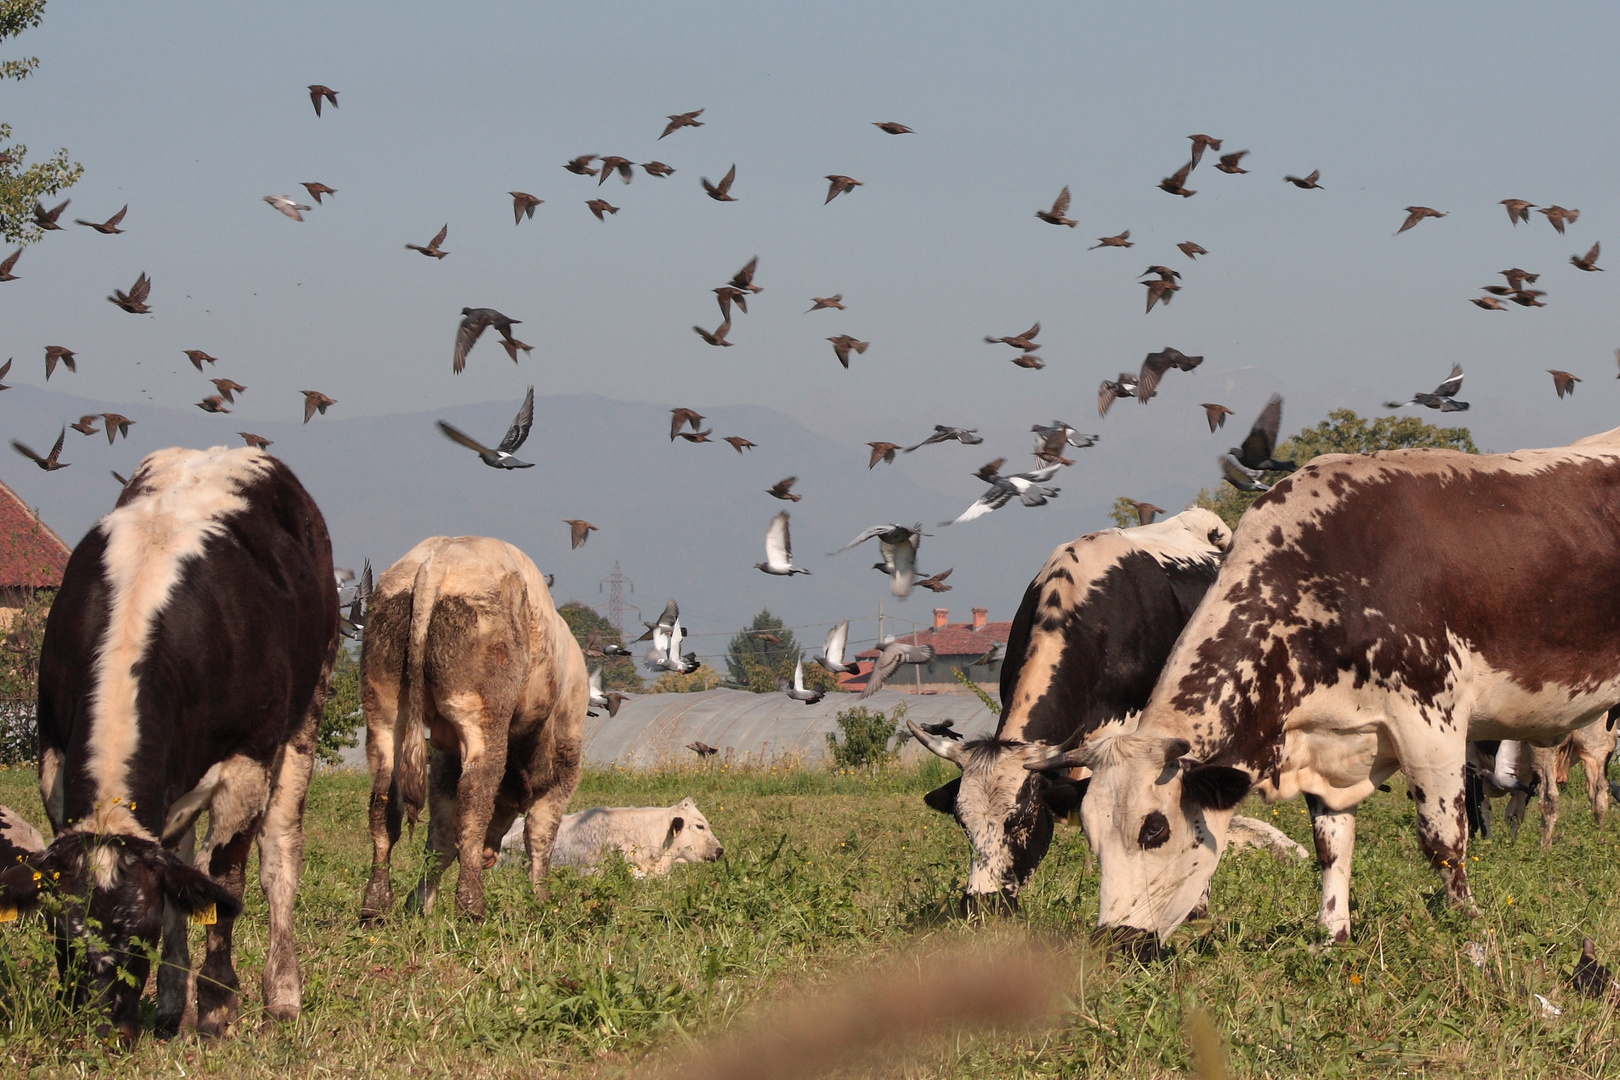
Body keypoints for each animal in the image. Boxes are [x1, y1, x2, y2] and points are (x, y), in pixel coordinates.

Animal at [0, 446, 335, 1036]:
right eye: (62, 933)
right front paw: (176, 1002)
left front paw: (219, 1005)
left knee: (278, 855)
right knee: (182, 860)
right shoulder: (52, 754)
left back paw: (281, 995)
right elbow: (185, 885)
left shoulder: (247, 761)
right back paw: (174, 1003)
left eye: (142, 934)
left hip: (305, 716)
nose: (102, 1030)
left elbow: (225, 884)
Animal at [364, 531, 592, 919]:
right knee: (474, 803)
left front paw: (419, 904)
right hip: (481, 717)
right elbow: (541, 835)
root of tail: (439, 556)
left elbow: (439, 836)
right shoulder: (564, 760)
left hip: (383, 713)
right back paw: (472, 906)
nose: (489, 856)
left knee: (384, 805)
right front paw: (541, 900)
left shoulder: (443, 756)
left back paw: (375, 906)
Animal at [1030, 430, 1620, 945]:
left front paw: (1467, 923)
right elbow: (1331, 846)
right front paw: (1332, 934)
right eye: (1091, 835)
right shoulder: (1324, 741)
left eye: (1153, 830)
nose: (1114, 938)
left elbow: (1444, 839)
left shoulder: (1433, 720)